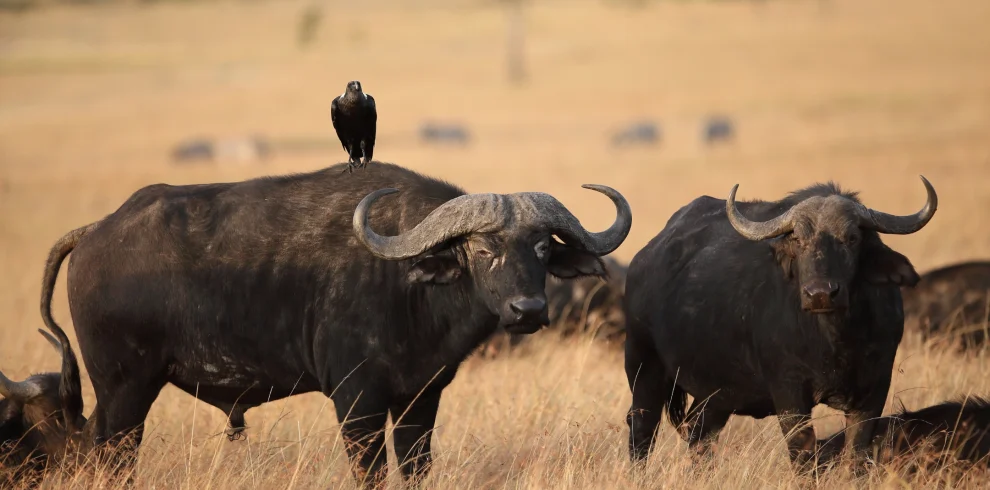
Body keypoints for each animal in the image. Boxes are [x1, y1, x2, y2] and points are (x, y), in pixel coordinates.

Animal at [41, 162, 631, 486]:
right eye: (482, 248)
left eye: (542, 247)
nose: (527, 311)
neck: (405, 287)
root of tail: (97, 230)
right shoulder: (356, 401)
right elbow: (370, 473)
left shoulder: (421, 398)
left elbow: (415, 467)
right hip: (125, 390)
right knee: (113, 457)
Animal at [624, 177, 936, 470]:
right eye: (798, 239)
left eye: (851, 238)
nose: (820, 293)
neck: (834, 342)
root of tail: (644, 258)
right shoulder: (789, 395)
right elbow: (804, 457)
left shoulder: (873, 391)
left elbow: (856, 457)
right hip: (644, 367)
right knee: (642, 429)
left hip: (715, 394)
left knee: (699, 436)